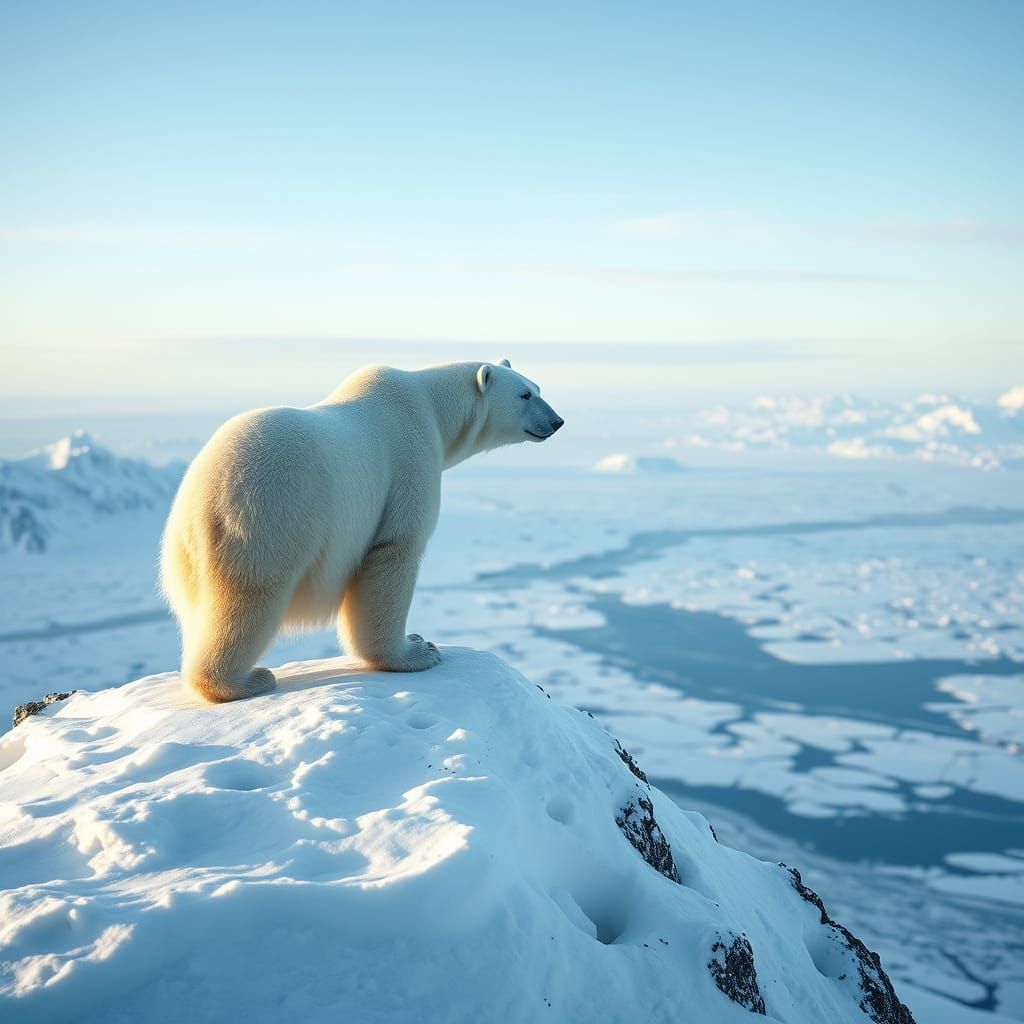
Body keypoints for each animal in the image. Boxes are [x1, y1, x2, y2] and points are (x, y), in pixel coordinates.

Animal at [160, 360, 564, 703]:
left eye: (537, 387)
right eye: (524, 395)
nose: (558, 421)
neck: (431, 407)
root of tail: (206, 497)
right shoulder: (409, 462)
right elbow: (395, 550)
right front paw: (418, 649)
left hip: (181, 552)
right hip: (271, 516)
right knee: (250, 595)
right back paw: (246, 680)